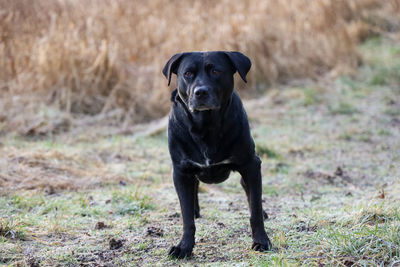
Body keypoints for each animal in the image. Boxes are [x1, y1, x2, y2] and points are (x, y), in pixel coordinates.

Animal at [162, 50, 272, 260]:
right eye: (187, 73)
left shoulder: (251, 165)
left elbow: (254, 209)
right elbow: (186, 217)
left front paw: (261, 241)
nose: (201, 92)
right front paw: (184, 247)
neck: (206, 126)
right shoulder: (181, 171)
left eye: (215, 71)